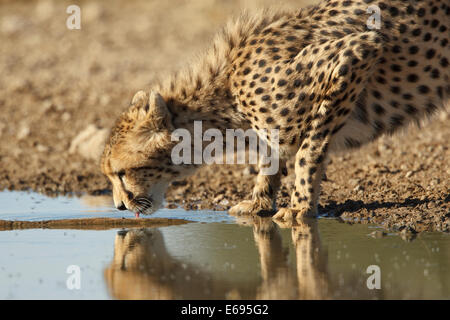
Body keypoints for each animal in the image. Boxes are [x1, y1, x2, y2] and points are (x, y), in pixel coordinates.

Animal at [100, 0, 448, 220]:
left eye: (121, 173)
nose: (119, 207)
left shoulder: (359, 51)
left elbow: (307, 152)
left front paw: (300, 208)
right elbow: (271, 157)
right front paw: (260, 201)